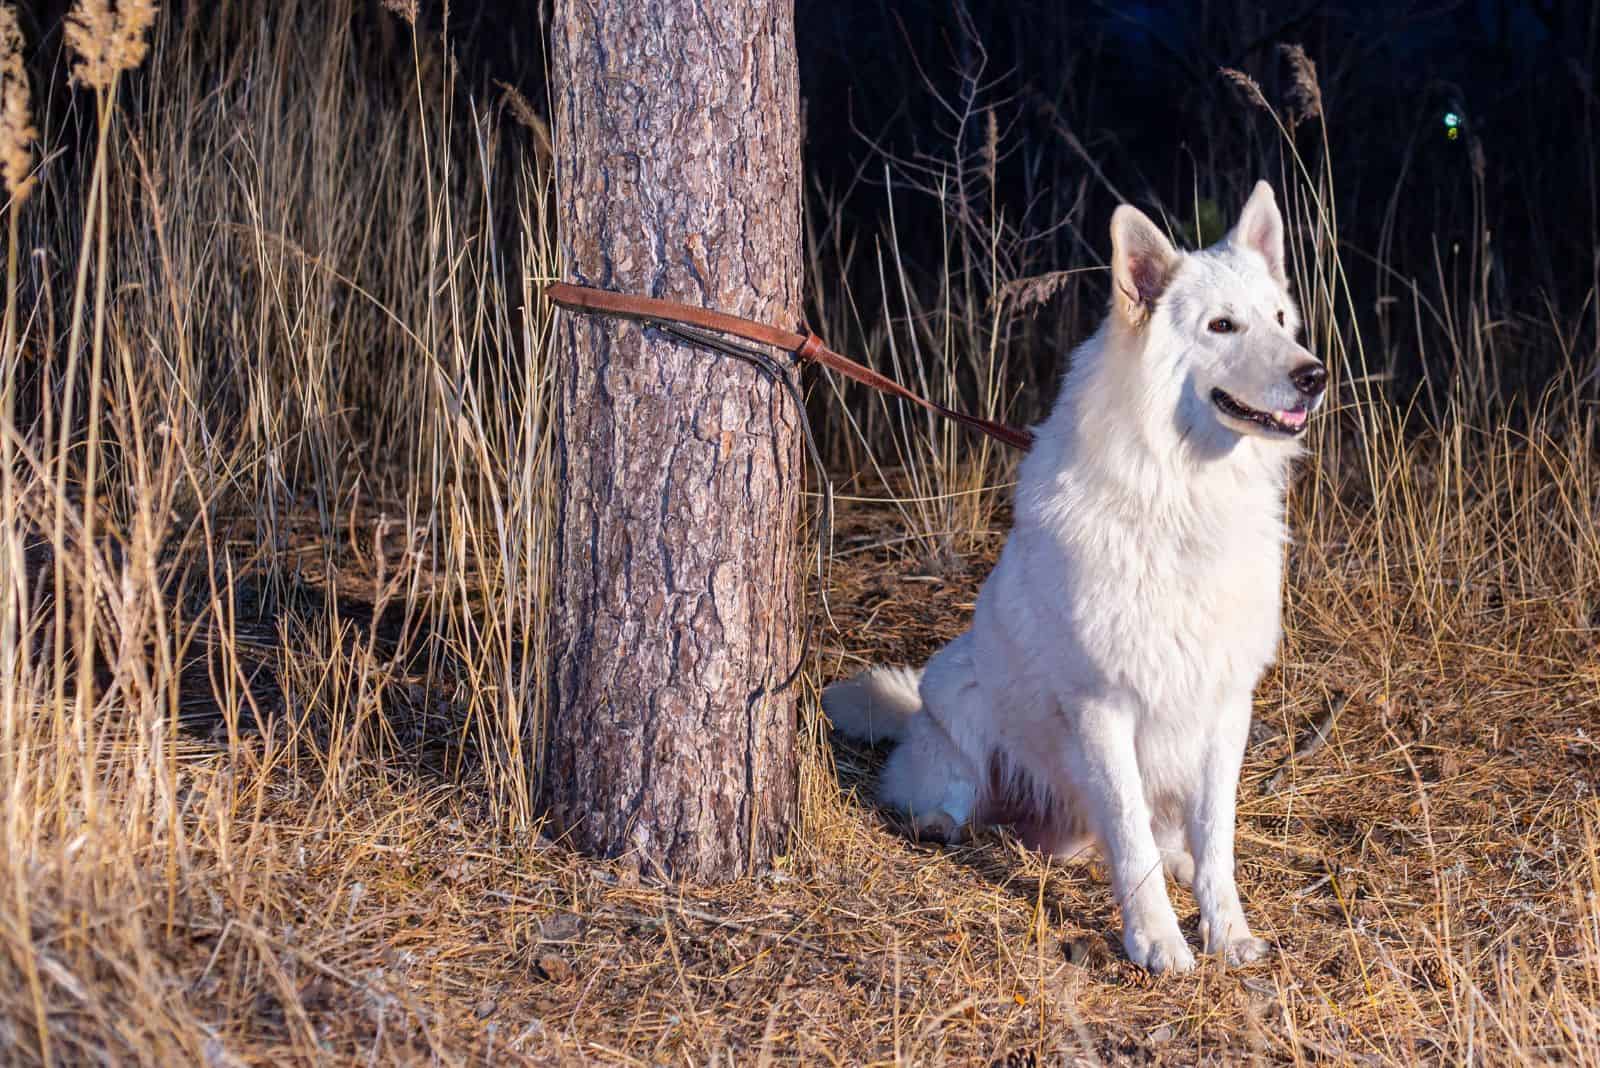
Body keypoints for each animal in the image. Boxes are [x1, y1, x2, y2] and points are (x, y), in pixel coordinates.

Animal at [825, 183, 1324, 978]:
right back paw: (937, 820)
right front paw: (1157, 940)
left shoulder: (1225, 705)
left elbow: (1215, 839)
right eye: (1222, 325)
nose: (1314, 375)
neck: (1181, 497)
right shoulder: (1103, 707)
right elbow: (1130, 836)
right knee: (943, 790)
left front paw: (1225, 932)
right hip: (960, 695)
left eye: (1280, 320)